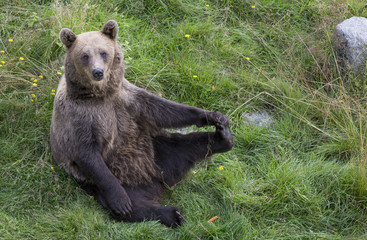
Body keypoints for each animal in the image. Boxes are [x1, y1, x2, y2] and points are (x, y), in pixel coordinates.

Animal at [49, 19, 233, 228]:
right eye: (84, 55)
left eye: (103, 52)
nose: (98, 72)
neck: (100, 95)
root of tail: (153, 180)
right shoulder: (79, 117)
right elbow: (86, 152)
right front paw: (121, 201)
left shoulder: (127, 98)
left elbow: (163, 109)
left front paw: (215, 116)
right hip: (106, 180)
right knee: (136, 204)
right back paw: (171, 214)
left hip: (157, 148)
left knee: (188, 145)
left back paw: (224, 137)